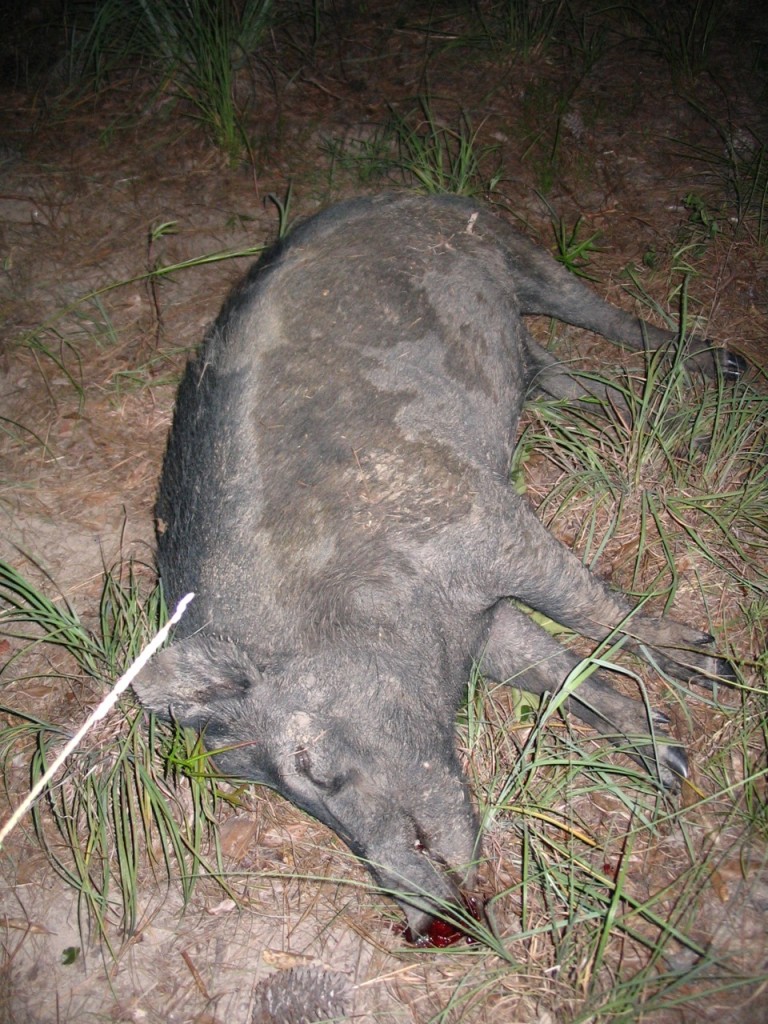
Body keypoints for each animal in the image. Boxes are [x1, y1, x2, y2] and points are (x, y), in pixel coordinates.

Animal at [133, 193, 737, 941]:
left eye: (309, 767)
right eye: (277, 793)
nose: (427, 923)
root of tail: (389, 193)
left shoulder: (486, 522)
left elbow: (593, 610)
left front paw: (715, 671)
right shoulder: (479, 621)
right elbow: (559, 675)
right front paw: (670, 764)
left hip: (521, 253)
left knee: (613, 320)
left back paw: (728, 369)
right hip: (519, 341)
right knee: (556, 370)